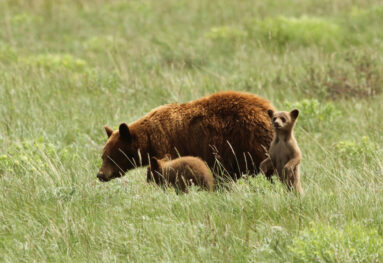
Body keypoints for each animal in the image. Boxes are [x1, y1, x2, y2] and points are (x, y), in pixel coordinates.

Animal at [97, 91, 274, 182]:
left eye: (112, 156)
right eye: (103, 156)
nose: (100, 174)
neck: (148, 140)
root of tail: (267, 109)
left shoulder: (168, 146)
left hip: (249, 142)